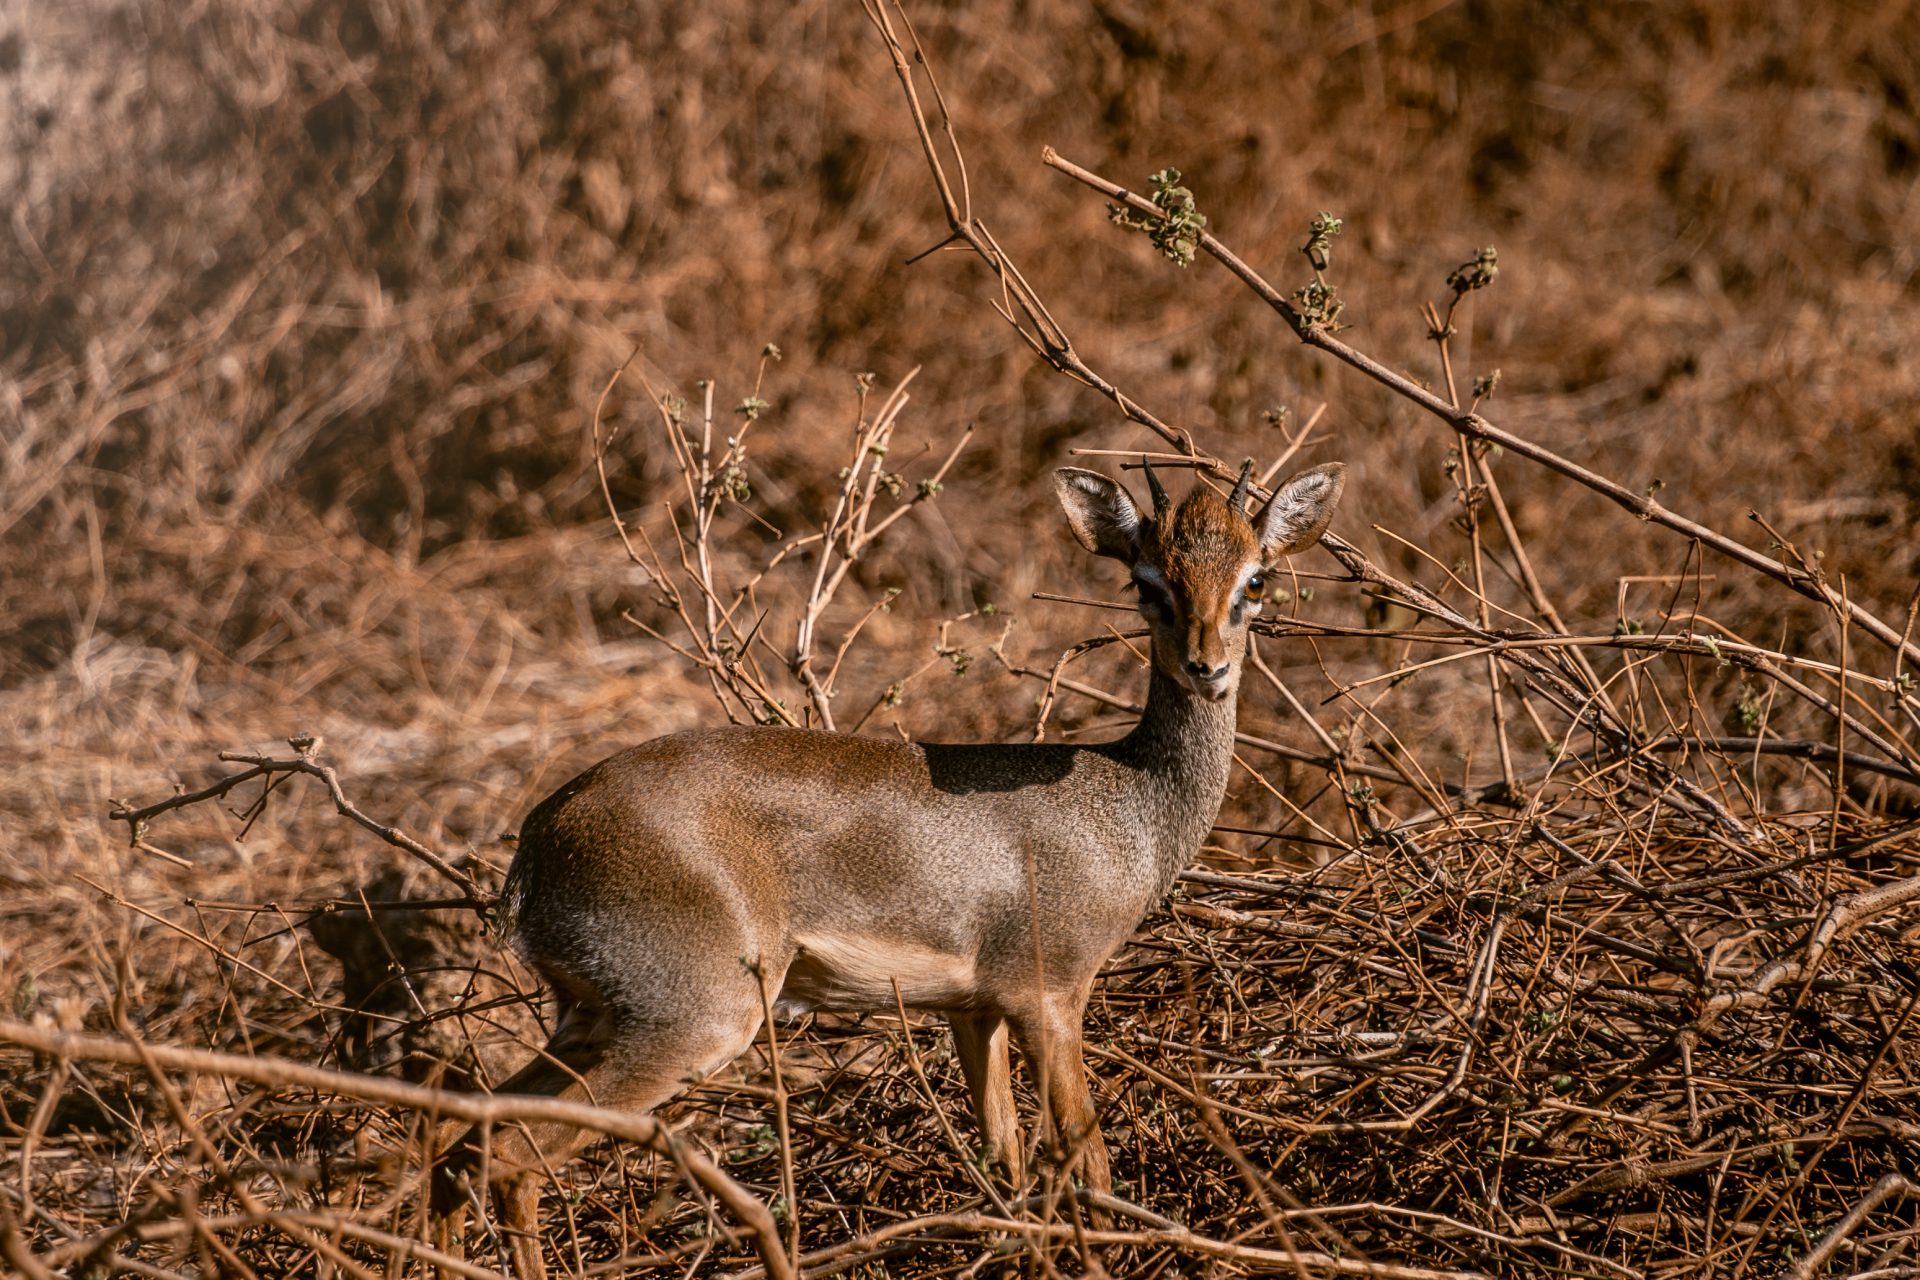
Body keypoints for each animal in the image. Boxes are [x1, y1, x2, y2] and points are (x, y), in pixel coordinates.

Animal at [435, 458, 1344, 1274]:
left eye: (1256, 579)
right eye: (1149, 583)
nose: (1207, 666)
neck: (1126, 801)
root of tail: (540, 841)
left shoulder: (973, 1011)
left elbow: (1007, 1162)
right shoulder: (1049, 994)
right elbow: (1087, 1162)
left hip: (587, 1019)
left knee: (454, 1136)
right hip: (693, 1020)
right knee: (509, 1157)